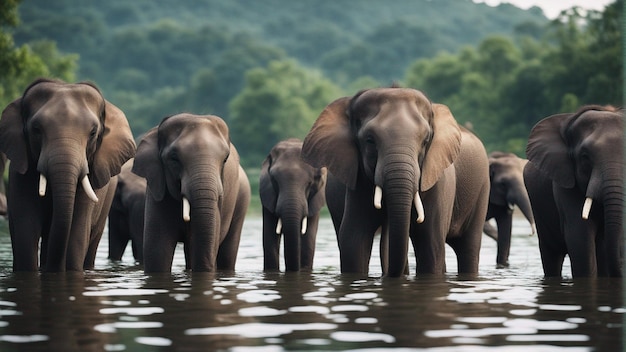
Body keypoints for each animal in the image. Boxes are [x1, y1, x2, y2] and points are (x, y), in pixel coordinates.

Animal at [300, 86, 490, 276]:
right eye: (370, 140)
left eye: (426, 141)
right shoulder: (358, 180)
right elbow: (354, 239)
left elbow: (431, 243)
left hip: (482, 189)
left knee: (468, 248)